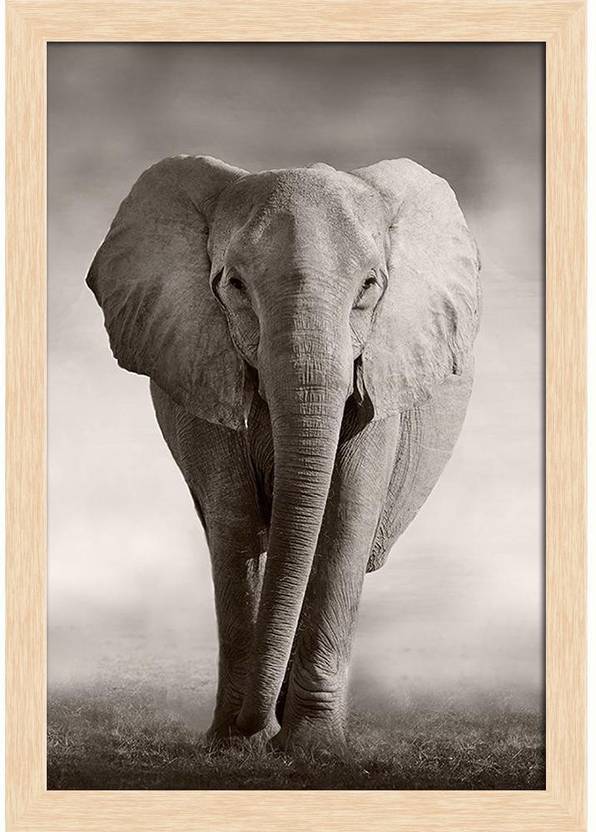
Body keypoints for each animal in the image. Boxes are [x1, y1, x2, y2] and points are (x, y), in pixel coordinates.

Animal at [86, 155, 481, 754]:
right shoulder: (201, 366)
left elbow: (343, 520)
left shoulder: (380, 373)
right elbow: (235, 522)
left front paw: (312, 748)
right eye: (235, 285)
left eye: (370, 286)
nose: (257, 731)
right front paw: (236, 744)